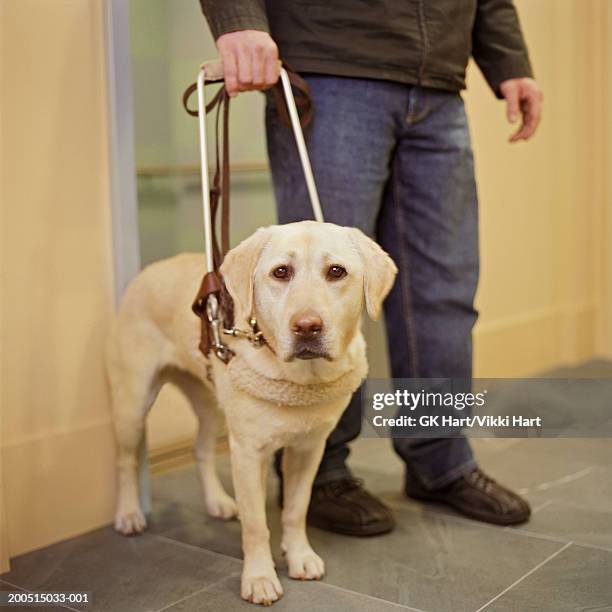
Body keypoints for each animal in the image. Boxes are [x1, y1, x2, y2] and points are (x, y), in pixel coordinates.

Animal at [106, 220, 396, 604]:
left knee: (200, 449)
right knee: (124, 461)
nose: (307, 327)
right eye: (281, 272)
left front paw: (299, 555)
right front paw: (259, 577)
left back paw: (217, 501)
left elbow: (295, 510)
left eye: (336, 272)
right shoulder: (247, 452)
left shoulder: (308, 450)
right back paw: (129, 514)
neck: (301, 378)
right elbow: (257, 523)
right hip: (133, 402)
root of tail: (153, 267)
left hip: (211, 405)